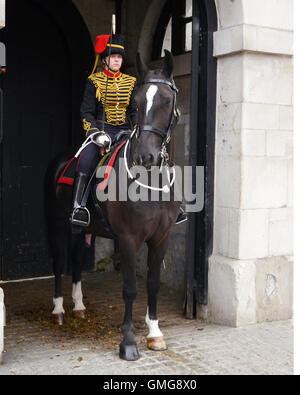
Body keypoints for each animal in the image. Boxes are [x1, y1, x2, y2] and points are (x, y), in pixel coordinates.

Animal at [44, 50, 180, 362]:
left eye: (167, 101)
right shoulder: (128, 239)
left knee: (77, 259)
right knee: (59, 261)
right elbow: (129, 288)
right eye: (138, 101)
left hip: (85, 229)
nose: (145, 156)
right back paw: (58, 310)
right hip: (56, 224)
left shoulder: (161, 238)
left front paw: (154, 333)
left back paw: (79, 307)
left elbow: (152, 282)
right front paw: (128, 342)